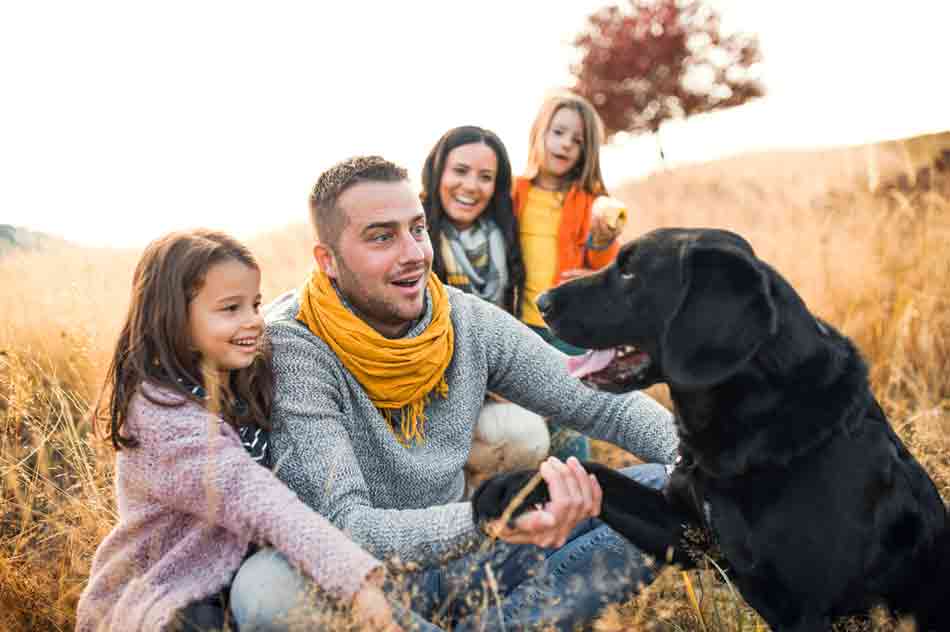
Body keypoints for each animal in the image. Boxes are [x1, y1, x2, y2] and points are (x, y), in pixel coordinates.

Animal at [476, 230, 950, 628]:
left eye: (629, 270)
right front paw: (510, 487)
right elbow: (599, 474)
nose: (543, 302)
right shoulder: (686, 533)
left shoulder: (806, 609)